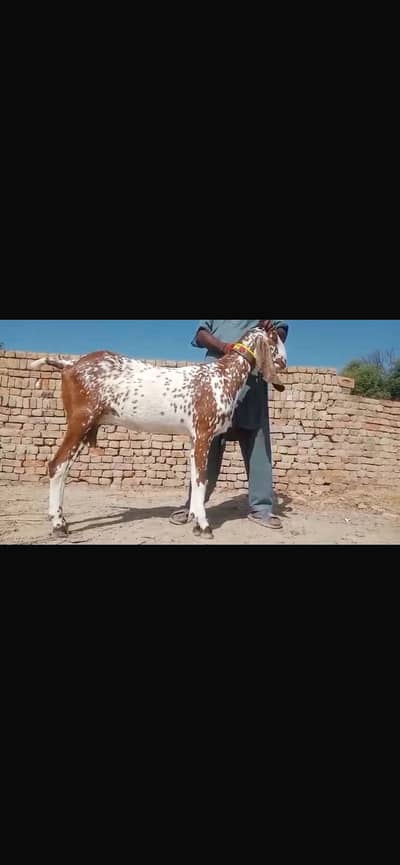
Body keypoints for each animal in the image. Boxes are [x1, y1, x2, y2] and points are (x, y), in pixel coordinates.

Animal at [29, 326, 287, 539]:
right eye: (275, 337)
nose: (284, 361)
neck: (222, 376)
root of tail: (69, 365)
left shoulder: (194, 438)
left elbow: (194, 477)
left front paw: (194, 519)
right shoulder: (204, 434)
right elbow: (202, 479)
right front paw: (203, 525)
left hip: (85, 428)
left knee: (63, 470)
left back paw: (61, 520)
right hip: (80, 422)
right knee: (57, 466)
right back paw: (58, 525)